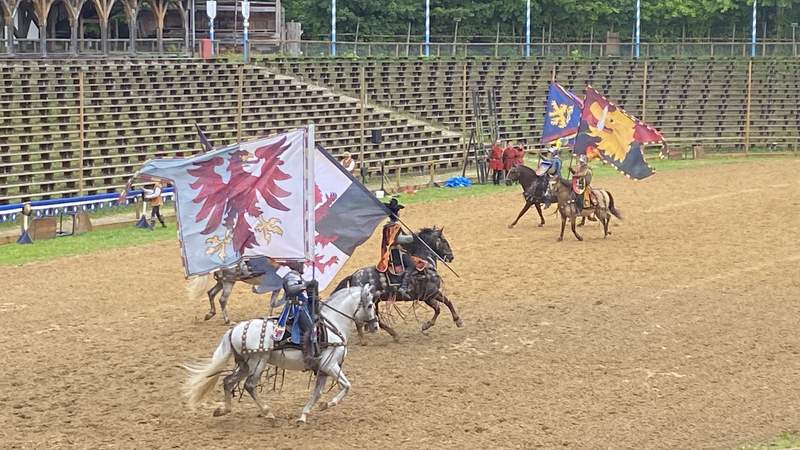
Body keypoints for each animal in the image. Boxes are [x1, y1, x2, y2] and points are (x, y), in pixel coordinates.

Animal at [184, 286, 378, 424]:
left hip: (245, 365)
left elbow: (317, 393)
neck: (332, 326)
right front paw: (326, 405)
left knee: (228, 382)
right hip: (258, 362)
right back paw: (268, 413)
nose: (375, 326)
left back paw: (223, 410)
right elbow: (346, 386)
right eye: (370, 305)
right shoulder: (330, 365)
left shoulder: (323, 370)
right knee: (249, 385)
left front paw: (303, 415)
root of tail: (234, 329)